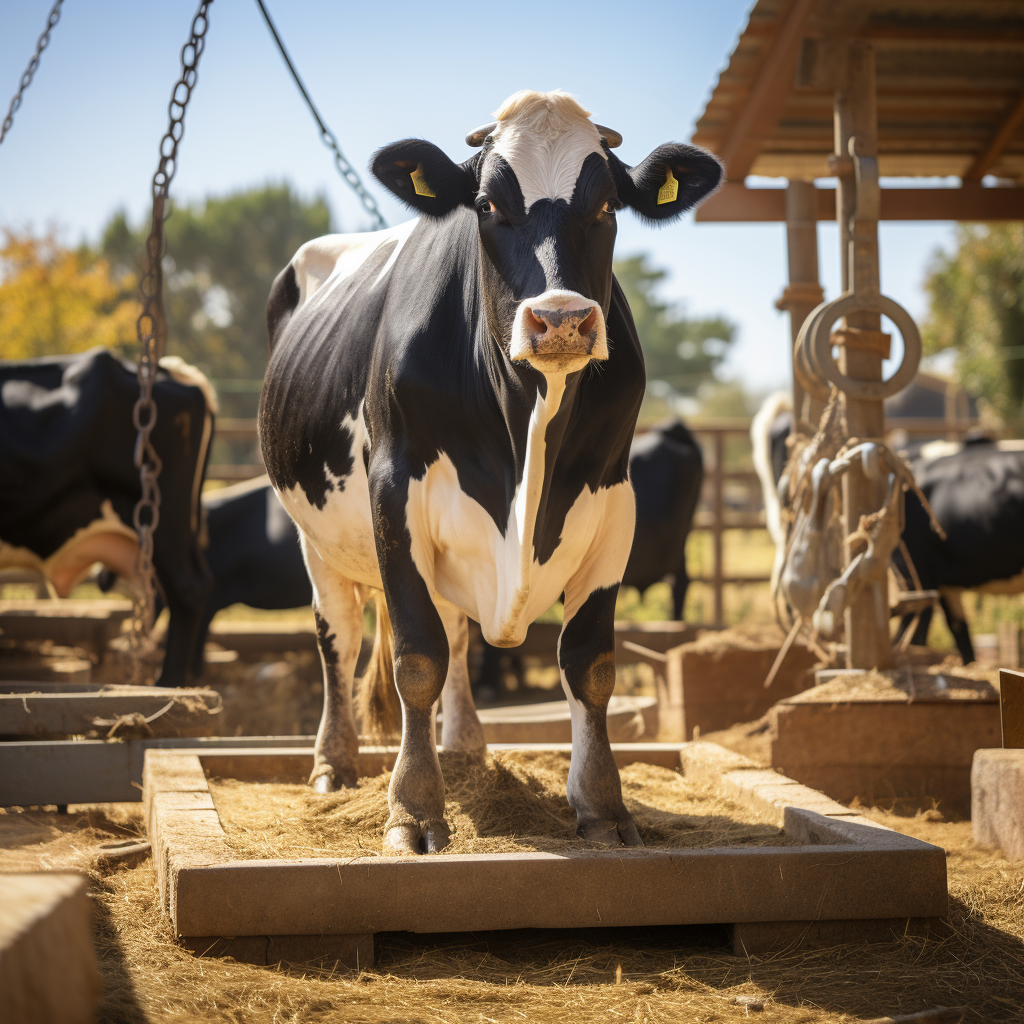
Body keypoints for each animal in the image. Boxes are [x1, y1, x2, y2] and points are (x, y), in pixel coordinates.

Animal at [258, 92, 720, 851]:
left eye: (608, 206)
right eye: (486, 204)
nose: (560, 320)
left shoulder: (614, 502)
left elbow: (589, 664)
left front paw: (603, 806)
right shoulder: (395, 492)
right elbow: (416, 658)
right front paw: (413, 809)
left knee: (455, 630)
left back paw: (467, 748)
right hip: (314, 535)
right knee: (340, 637)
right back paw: (334, 763)